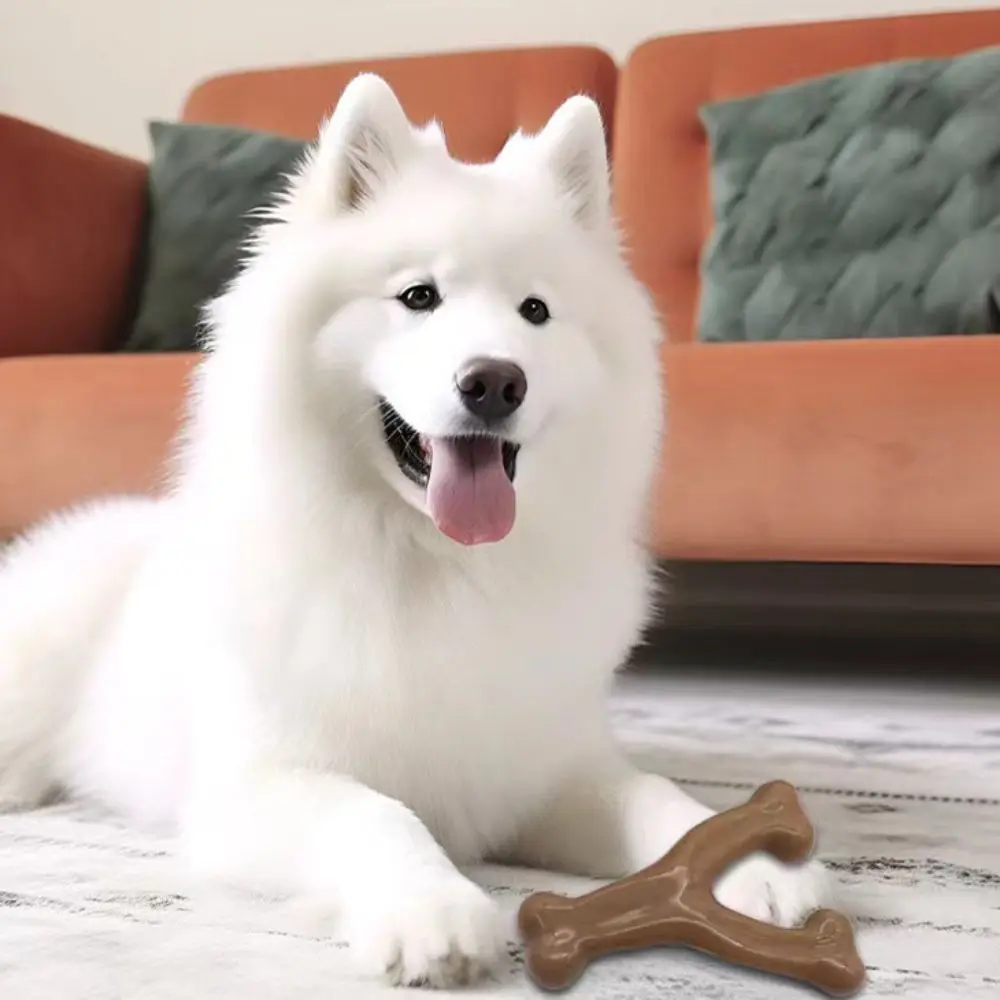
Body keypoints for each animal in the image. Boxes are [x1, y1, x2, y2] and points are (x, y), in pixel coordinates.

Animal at [0, 76, 828, 984]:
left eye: (535, 310)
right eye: (418, 297)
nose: (495, 381)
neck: (437, 564)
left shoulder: (548, 770)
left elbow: (657, 798)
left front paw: (753, 866)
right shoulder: (259, 788)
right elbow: (378, 815)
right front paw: (433, 911)